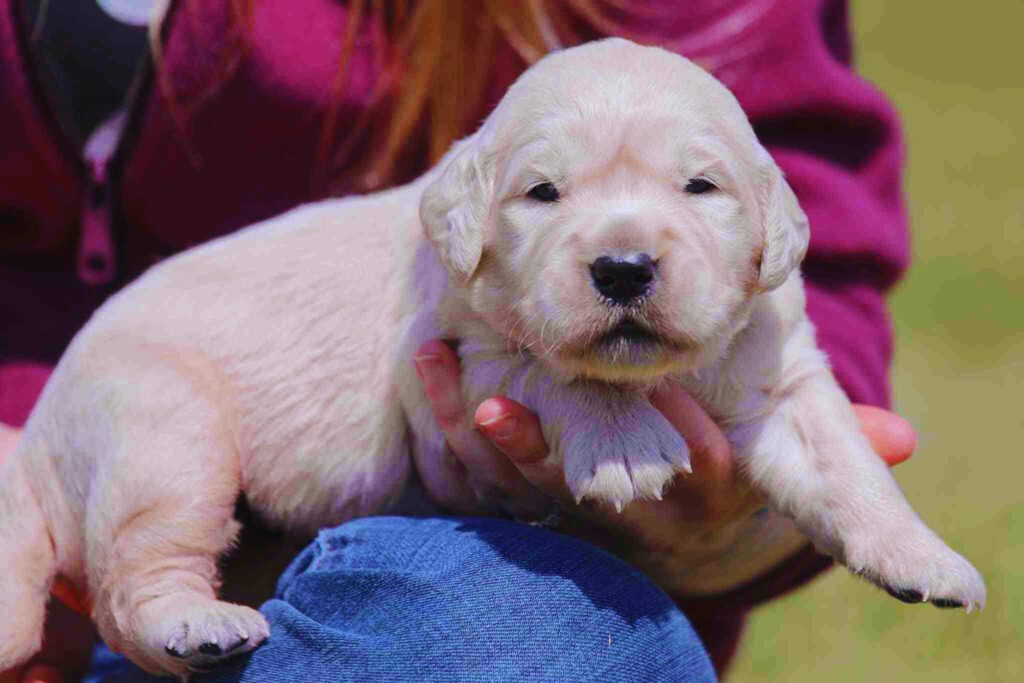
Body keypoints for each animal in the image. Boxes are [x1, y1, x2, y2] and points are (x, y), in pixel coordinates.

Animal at [0, 38, 983, 679]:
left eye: (701, 187)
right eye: (542, 193)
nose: (623, 268)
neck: (659, 375)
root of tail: (40, 434)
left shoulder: (780, 371)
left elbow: (847, 465)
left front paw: (923, 556)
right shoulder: (459, 351)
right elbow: (558, 368)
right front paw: (625, 442)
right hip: (164, 425)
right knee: (134, 570)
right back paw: (196, 625)